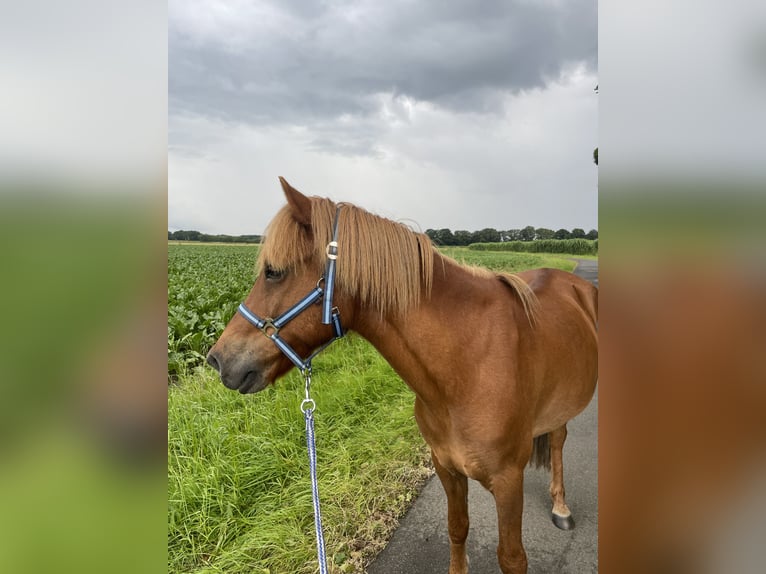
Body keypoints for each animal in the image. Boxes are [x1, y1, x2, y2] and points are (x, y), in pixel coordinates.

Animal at [208, 178, 600, 572]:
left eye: (273, 271)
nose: (217, 360)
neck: (467, 366)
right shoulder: (446, 467)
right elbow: (457, 528)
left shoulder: (508, 482)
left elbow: (512, 557)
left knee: (558, 441)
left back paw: (561, 507)